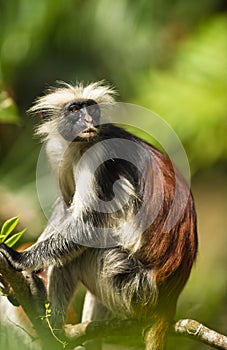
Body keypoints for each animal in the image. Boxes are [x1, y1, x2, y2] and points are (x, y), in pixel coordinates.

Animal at [0, 82, 197, 348]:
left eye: (91, 109)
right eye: (74, 110)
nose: (88, 121)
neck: (76, 146)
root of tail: (168, 301)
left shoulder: (96, 154)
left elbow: (89, 224)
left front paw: (20, 259)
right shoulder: (57, 151)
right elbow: (65, 208)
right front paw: (30, 272)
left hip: (131, 286)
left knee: (80, 253)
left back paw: (53, 328)